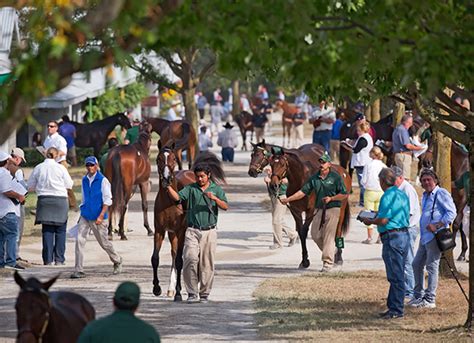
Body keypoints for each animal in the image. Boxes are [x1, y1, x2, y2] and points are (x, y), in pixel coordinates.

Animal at [152, 148, 226, 300]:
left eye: (174, 159)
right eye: (158, 159)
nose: (166, 179)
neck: (170, 202)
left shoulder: (181, 231)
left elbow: (180, 261)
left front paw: (179, 293)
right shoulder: (160, 230)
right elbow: (155, 258)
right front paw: (157, 288)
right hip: (172, 233)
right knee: (174, 253)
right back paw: (170, 288)